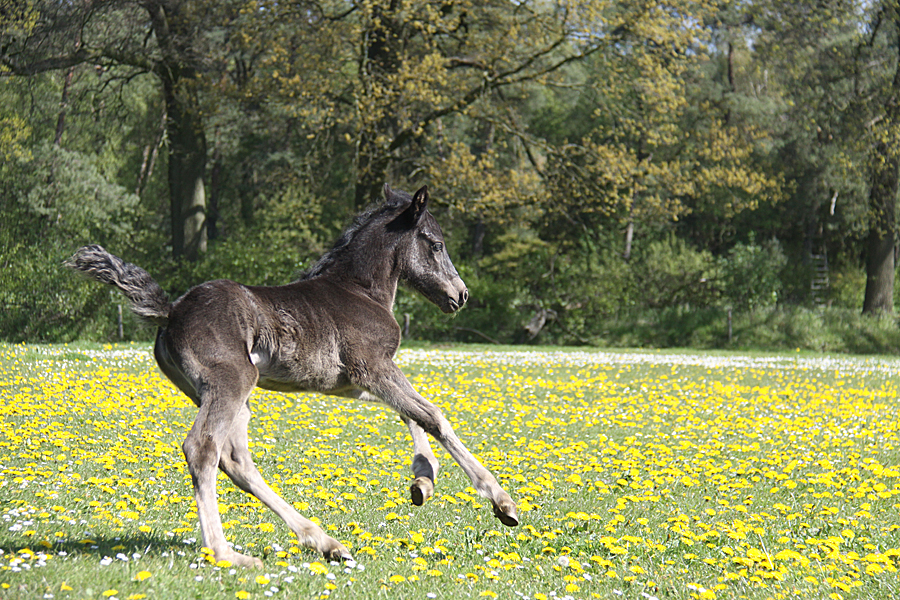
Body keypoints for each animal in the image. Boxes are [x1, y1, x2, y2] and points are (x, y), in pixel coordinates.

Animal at [66, 184, 518, 568]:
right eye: (436, 243)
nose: (460, 295)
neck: (361, 290)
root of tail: (172, 310)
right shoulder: (373, 367)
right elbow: (433, 416)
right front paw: (501, 501)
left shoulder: (352, 382)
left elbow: (410, 415)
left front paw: (423, 481)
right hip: (231, 384)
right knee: (202, 449)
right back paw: (228, 554)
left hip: (228, 397)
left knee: (236, 461)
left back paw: (325, 542)